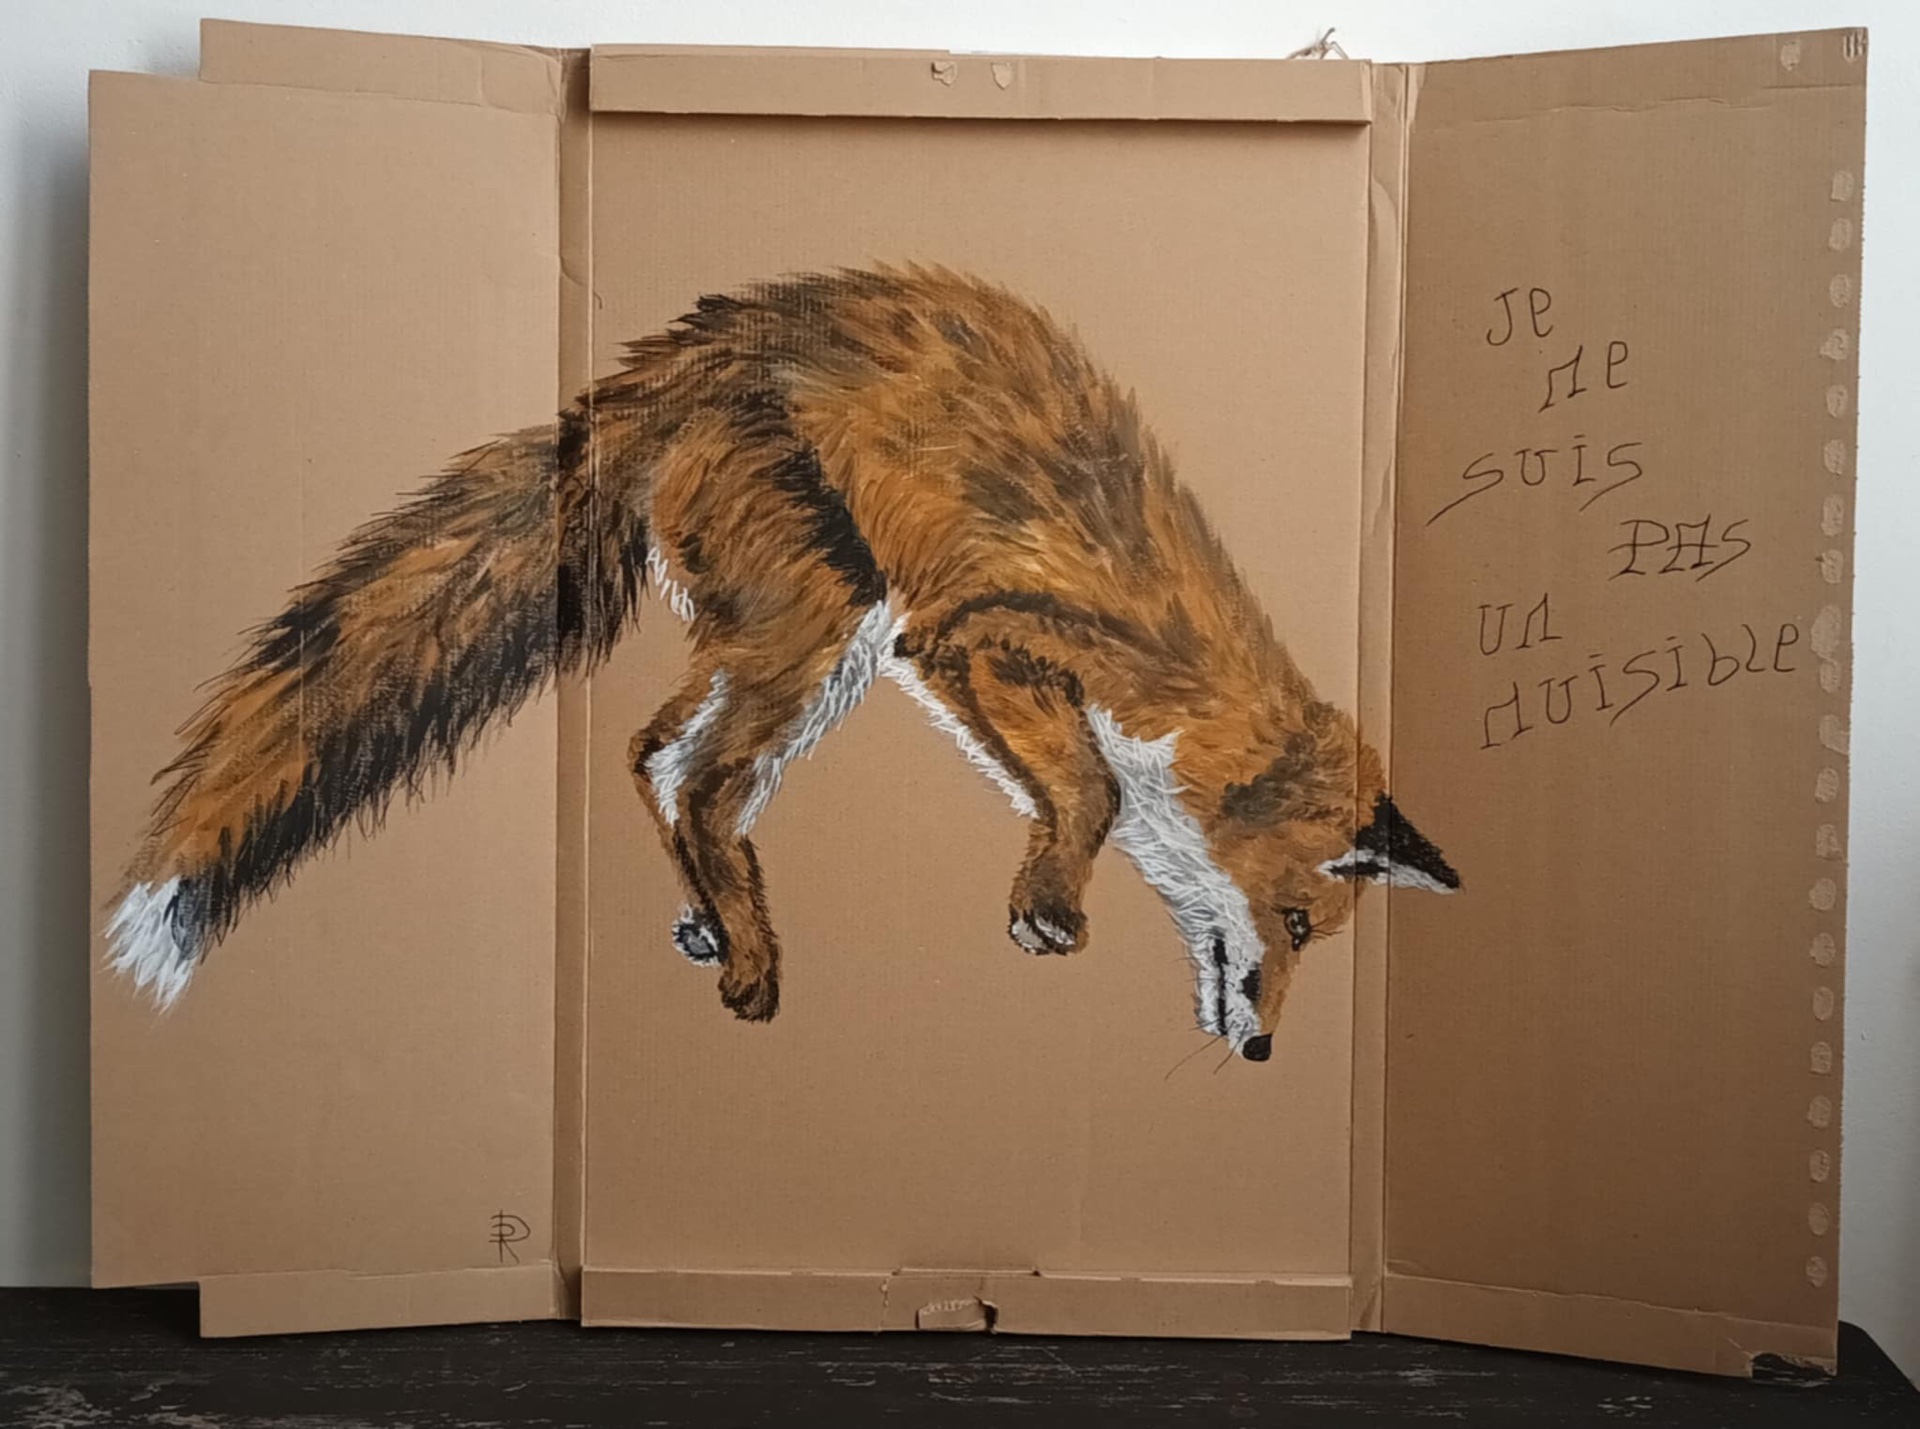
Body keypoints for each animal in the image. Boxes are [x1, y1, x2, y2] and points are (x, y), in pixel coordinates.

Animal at [106, 264, 1458, 1061]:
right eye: (1295, 920)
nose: (1264, 1052)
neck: (1188, 677)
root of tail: (680, 354)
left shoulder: (946, 657)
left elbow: (1074, 787)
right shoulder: (972, 635)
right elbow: (1093, 787)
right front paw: (1048, 904)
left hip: (804, 639)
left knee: (654, 754)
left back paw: (716, 920)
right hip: (825, 623)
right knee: (698, 778)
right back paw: (753, 961)